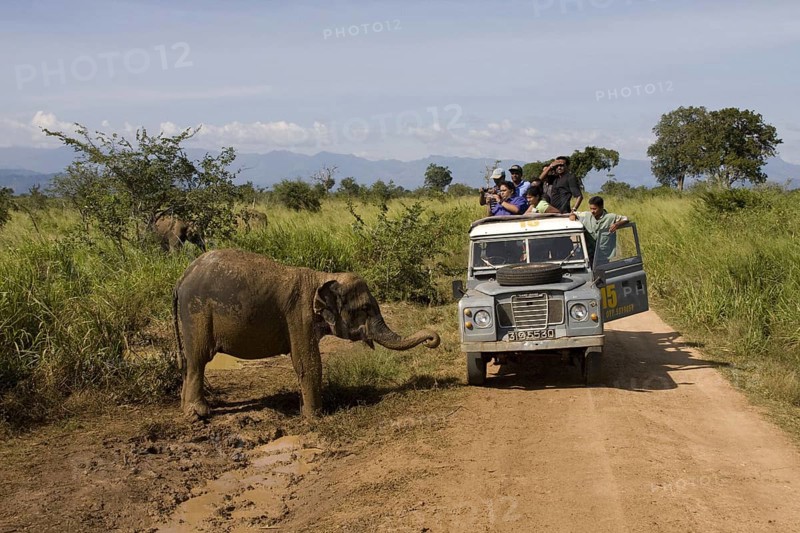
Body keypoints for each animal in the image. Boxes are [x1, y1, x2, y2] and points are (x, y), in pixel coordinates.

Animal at [172, 249, 441, 419]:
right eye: (365, 308)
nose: (432, 339)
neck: (322, 278)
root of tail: (182, 276)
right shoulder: (298, 315)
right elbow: (307, 363)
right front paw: (316, 418)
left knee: (187, 361)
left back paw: (186, 409)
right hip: (196, 312)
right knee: (198, 359)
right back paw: (198, 415)